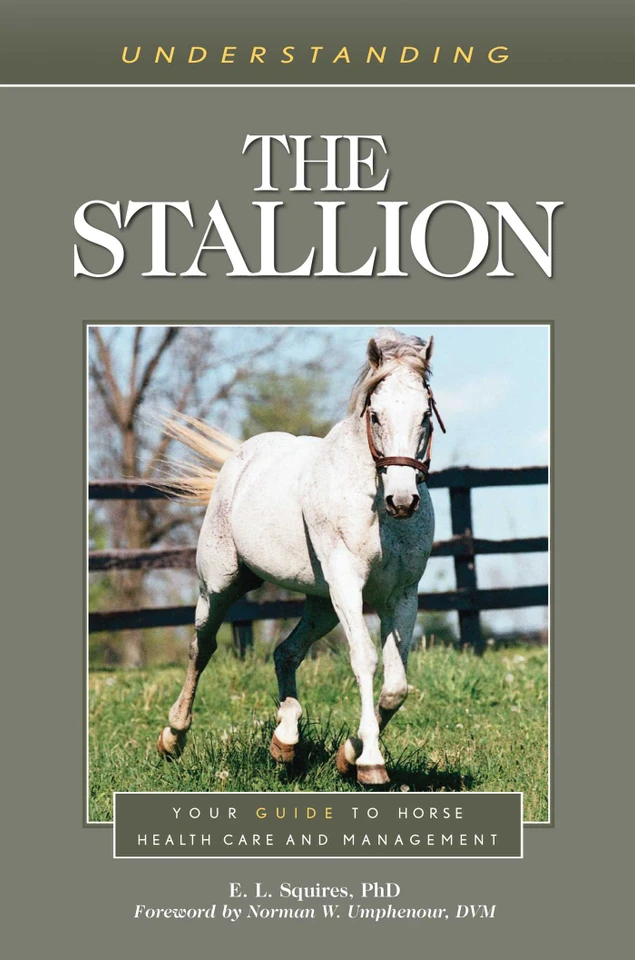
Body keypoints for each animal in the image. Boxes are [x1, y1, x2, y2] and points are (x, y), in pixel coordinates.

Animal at [157, 327, 445, 785]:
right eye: (376, 415)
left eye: (425, 416)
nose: (403, 501)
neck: (376, 509)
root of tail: (241, 457)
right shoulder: (348, 585)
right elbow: (364, 660)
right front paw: (370, 763)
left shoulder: (402, 596)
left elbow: (396, 685)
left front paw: (348, 755)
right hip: (219, 586)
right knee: (201, 648)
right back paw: (173, 738)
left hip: (321, 605)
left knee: (285, 652)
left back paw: (286, 742)